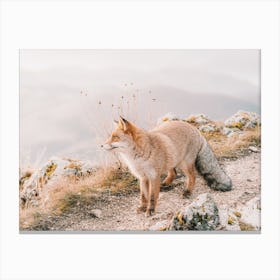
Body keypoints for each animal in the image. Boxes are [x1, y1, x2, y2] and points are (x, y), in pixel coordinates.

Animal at [103, 116, 232, 217]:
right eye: (111, 137)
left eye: (115, 137)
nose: (101, 145)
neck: (139, 158)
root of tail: (195, 129)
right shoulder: (143, 178)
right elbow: (144, 196)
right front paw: (143, 207)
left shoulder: (153, 177)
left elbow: (152, 196)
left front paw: (150, 210)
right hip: (172, 159)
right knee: (174, 173)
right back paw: (166, 184)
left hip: (184, 164)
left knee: (192, 177)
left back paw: (187, 192)